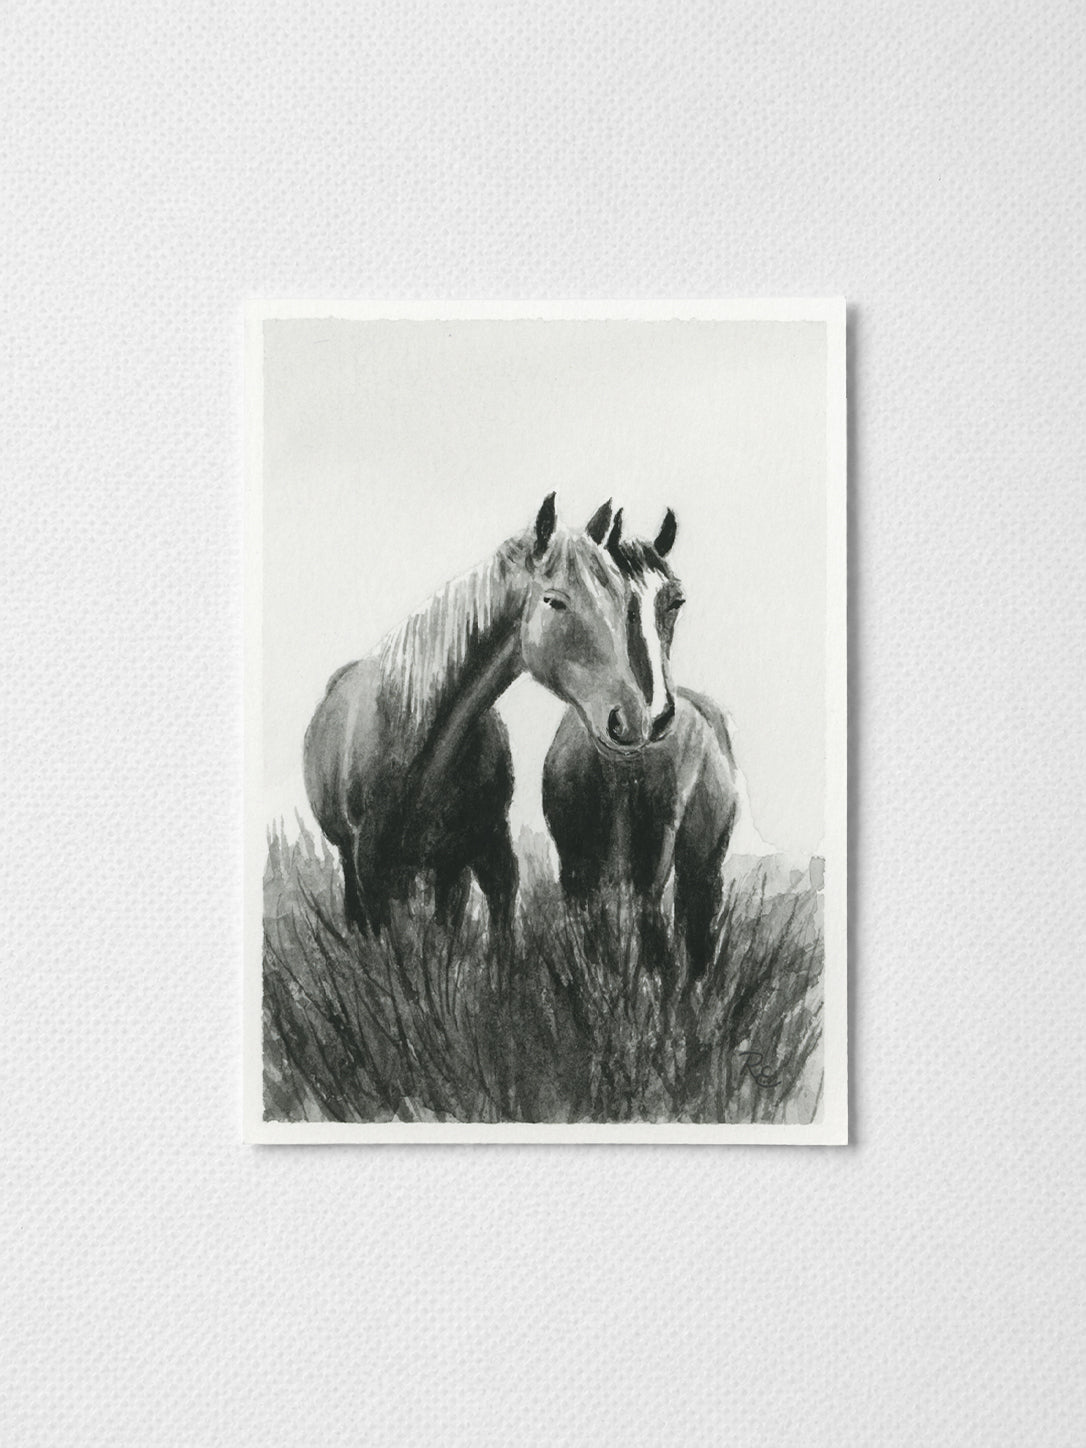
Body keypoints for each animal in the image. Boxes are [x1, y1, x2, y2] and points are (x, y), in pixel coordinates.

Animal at [303, 493, 655, 936]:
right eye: (554, 600)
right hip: (356, 864)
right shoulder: (374, 873)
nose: (631, 720)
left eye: (625, 603)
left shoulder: (490, 857)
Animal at [542, 508, 740, 978]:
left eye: (675, 601)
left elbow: (655, 952)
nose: (657, 713)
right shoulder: (575, 868)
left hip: (702, 865)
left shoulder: (651, 870)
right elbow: (590, 948)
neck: (619, 768)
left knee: (694, 933)